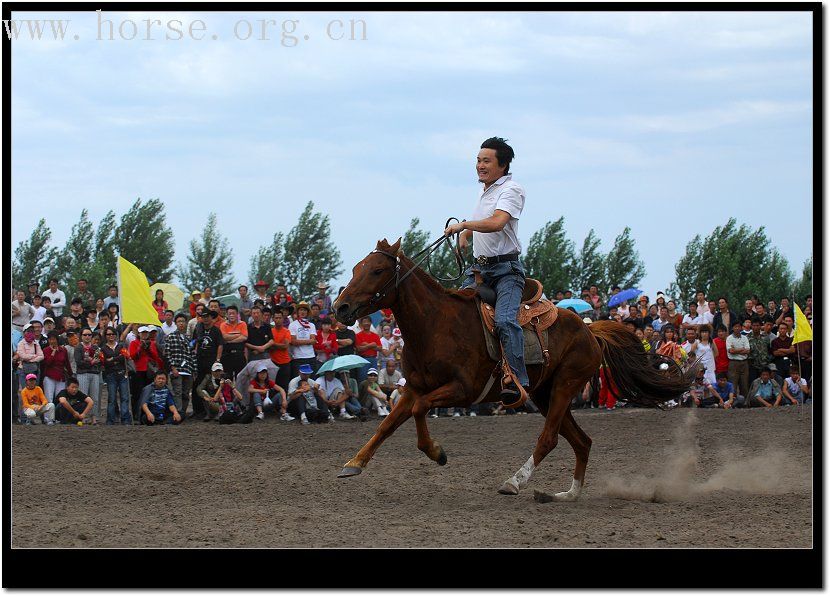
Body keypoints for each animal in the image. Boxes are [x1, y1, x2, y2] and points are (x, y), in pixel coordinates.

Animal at [334, 237, 692, 498]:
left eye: (377, 270)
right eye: (355, 268)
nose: (341, 307)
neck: (435, 325)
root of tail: (591, 331)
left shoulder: (461, 390)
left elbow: (420, 411)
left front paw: (437, 452)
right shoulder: (414, 388)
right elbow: (387, 424)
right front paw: (354, 462)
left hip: (564, 387)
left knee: (549, 439)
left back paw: (515, 482)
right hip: (545, 393)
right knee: (581, 441)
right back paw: (567, 495)